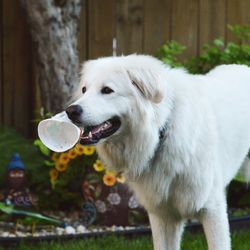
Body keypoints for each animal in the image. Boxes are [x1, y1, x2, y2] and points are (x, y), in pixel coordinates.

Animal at [65, 55, 250, 250]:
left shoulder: (211, 209)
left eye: (107, 90)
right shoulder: (163, 215)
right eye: (84, 90)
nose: (71, 111)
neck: (162, 131)